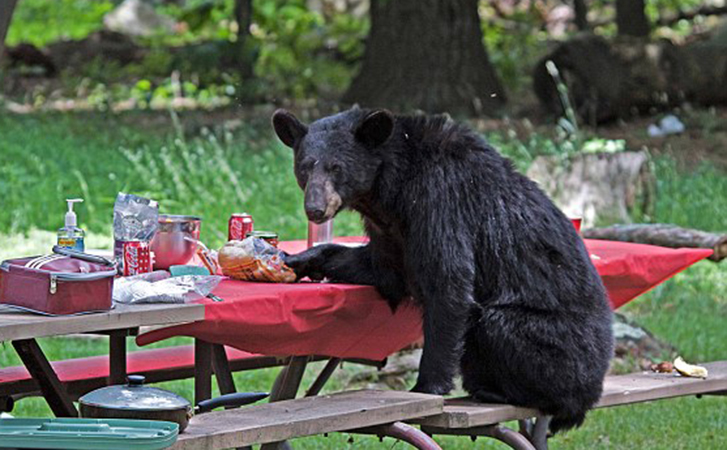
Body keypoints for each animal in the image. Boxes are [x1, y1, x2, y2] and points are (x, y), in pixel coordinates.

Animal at [272, 106, 616, 432]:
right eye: (305, 167)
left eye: (337, 167)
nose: (315, 209)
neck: (392, 186)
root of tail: (594, 389)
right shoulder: (391, 228)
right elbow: (383, 268)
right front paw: (299, 258)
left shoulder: (440, 198)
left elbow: (448, 282)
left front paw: (425, 389)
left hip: (560, 350)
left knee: (497, 325)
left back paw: (497, 391)